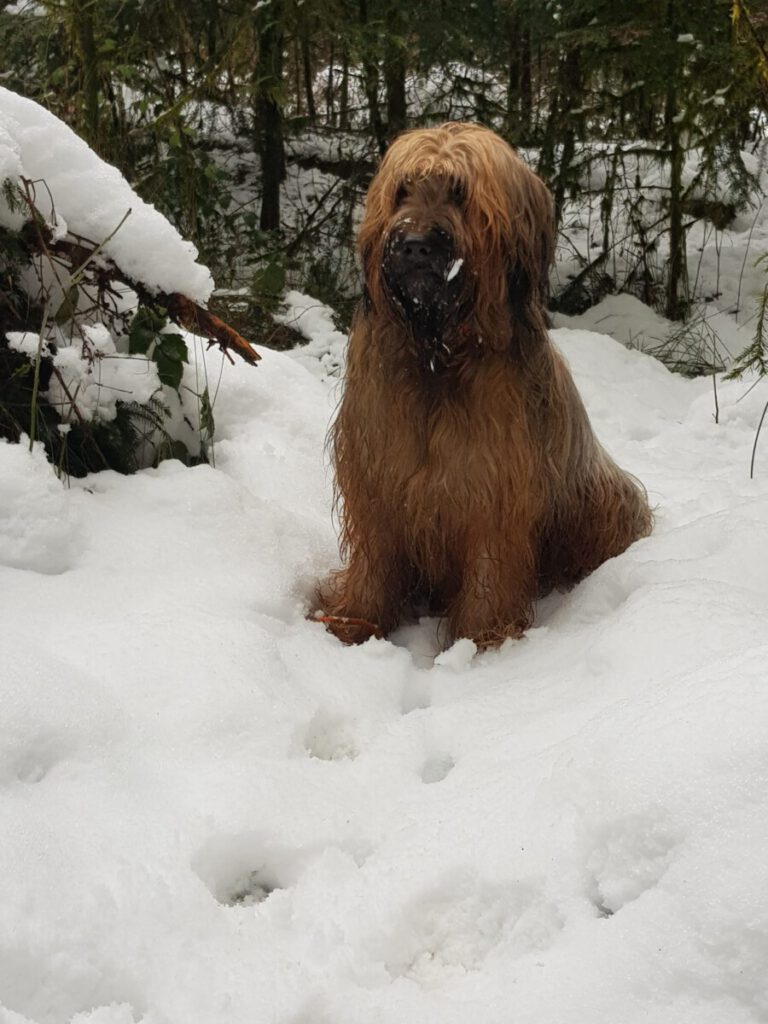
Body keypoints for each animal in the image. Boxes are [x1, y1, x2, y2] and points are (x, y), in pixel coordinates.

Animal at [315, 121, 651, 647]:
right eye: (402, 191)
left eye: (461, 194)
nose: (414, 244)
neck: (439, 356)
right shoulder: (375, 476)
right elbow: (374, 555)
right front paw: (355, 623)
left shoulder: (494, 489)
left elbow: (490, 569)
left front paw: (481, 641)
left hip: (604, 504)